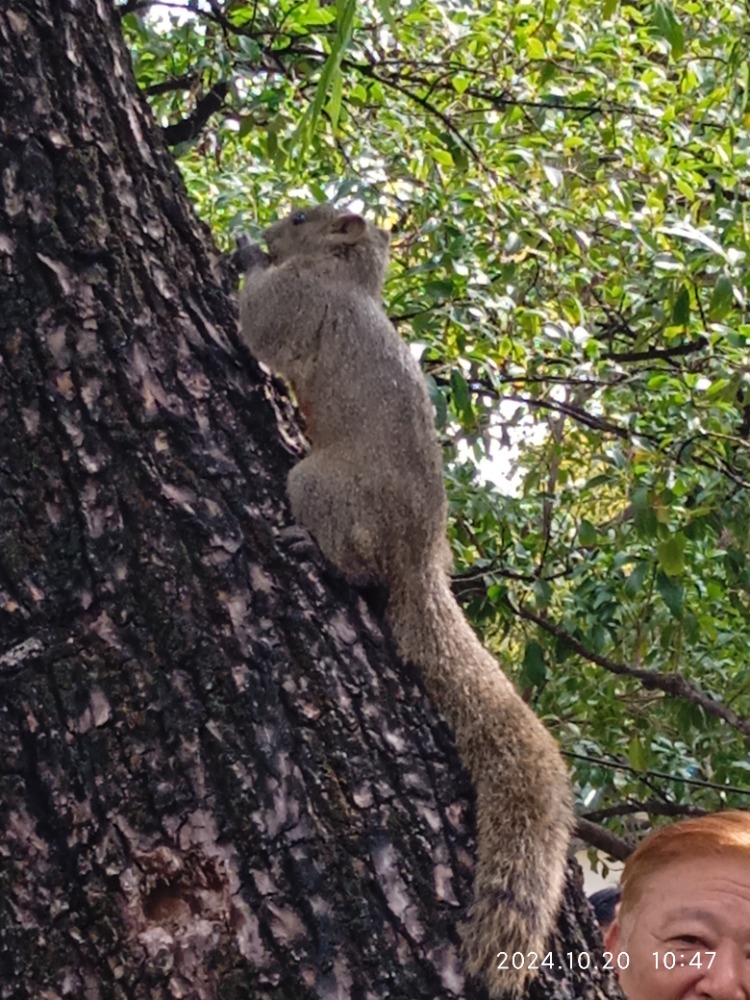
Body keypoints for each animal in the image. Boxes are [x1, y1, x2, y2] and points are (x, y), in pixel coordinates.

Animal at [238, 205, 572, 1000]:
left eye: (301, 217)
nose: (273, 227)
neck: (348, 276)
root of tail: (421, 565)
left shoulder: (298, 300)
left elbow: (258, 323)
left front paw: (240, 251)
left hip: (321, 488)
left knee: (357, 567)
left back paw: (312, 550)